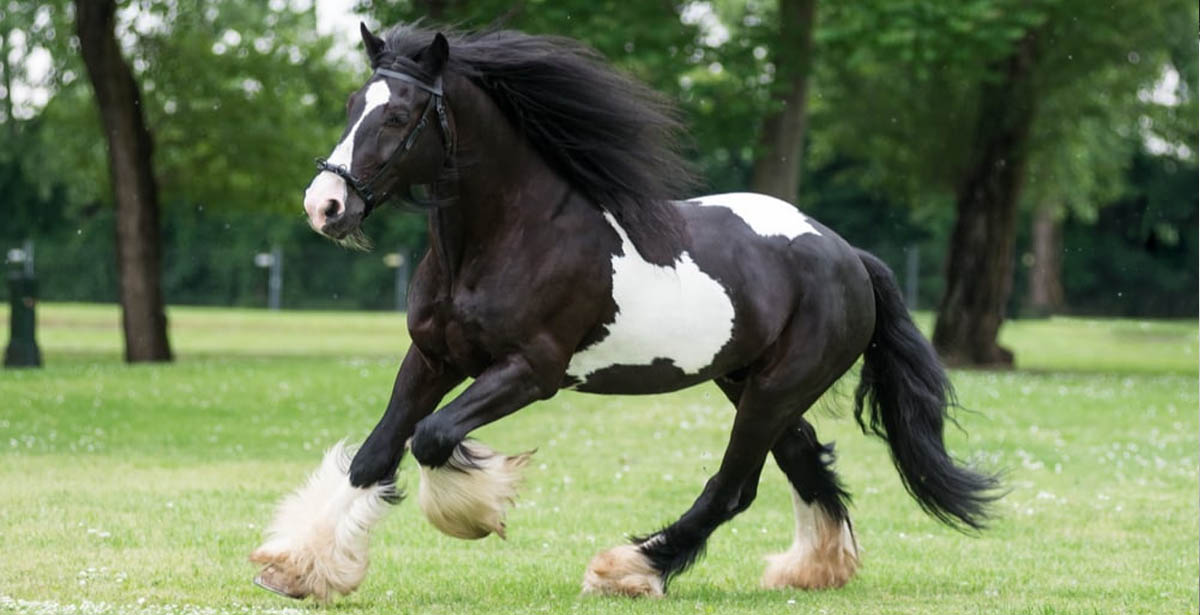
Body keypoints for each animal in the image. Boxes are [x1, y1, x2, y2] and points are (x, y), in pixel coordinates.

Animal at [248, 22, 998, 600]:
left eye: (399, 116)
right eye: (352, 104)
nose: (326, 206)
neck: (508, 236)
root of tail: (849, 255)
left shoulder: (532, 371)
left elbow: (431, 437)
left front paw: (477, 506)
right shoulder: (433, 357)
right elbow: (377, 451)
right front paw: (300, 567)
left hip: (778, 387)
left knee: (734, 486)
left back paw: (629, 568)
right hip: (750, 382)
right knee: (805, 459)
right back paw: (813, 569)